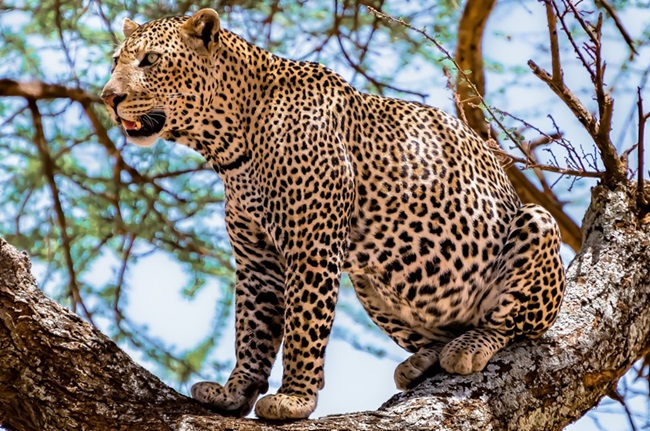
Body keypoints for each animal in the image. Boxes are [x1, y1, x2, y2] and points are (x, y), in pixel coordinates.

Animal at [100, 8, 560, 422]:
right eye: (116, 60)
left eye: (151, 60)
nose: (108, 97)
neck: (227, 144)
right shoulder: (257, 261)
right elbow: (251, 328)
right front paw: (235, 392)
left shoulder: (311, 246)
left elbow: (304, 325)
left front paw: (294, 399)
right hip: (370, 283)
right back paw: (422, 361)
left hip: (536, 224)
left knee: (514, 324)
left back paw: (469, 347)